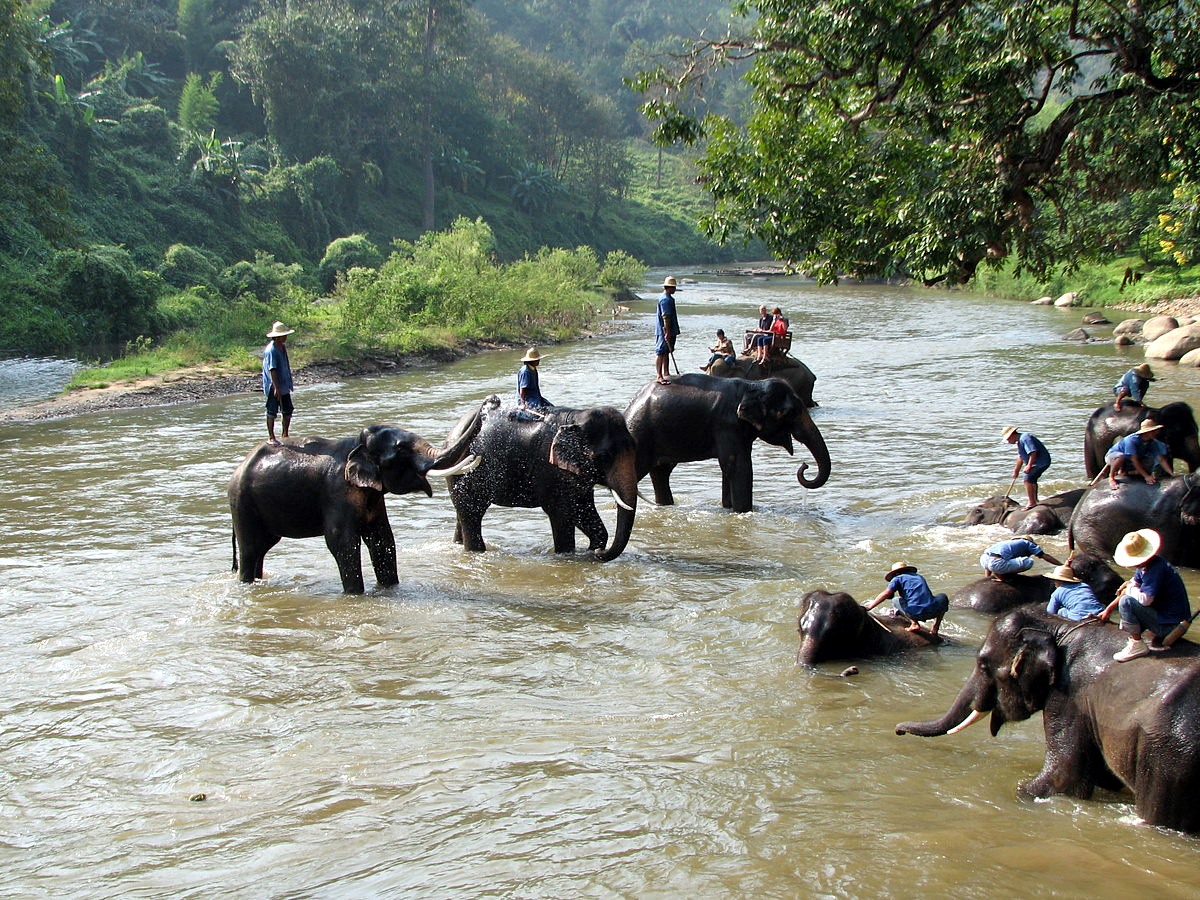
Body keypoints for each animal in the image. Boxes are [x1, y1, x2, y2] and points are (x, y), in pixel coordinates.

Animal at [228, 410, 483, 594]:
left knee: (262, 547)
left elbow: (382, 538)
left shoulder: (373, 497)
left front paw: (390, 589)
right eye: (401, 450)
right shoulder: (337, 492)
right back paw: (246, 584)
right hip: (242, 504)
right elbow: (342, 542)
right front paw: (355, 595)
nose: (489, 401)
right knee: (251, 549)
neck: (357, 443)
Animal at [445, 397, 638, 560]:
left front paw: (591, 551)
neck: (576, 418)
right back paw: (476, 552)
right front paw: (568, 556)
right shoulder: (549, 470)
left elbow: (584, 511)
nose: (599, 553)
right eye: (605, 457)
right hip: (466, 472)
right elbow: (562, 515)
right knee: (471, 512)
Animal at [623, 373, 831, 513]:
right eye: (790, 413)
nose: (805, 465)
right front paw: (743, 512)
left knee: (662, 472)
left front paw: (729, 508)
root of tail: (628, 409)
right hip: (640, 436)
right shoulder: (727, 425)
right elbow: (739, 466)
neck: (753, 386)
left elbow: (728, 467)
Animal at [896, 606, 1200, 835]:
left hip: (1169, 756)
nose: (898, 730)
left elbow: (1063, 776)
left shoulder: (1069, 697)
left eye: (983, 664)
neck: (1059, 627)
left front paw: (1021, 793)